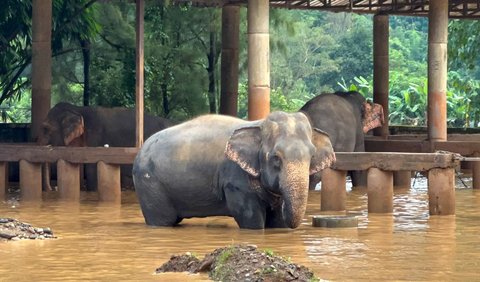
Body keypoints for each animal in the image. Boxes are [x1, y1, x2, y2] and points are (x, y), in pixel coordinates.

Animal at [131, 110, 334, 229]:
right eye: (276, 158)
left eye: (312, 156)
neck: (259, 124)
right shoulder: (235, 179)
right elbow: (251, 218)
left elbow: (277, 222)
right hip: (149, 183)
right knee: (162, 220)